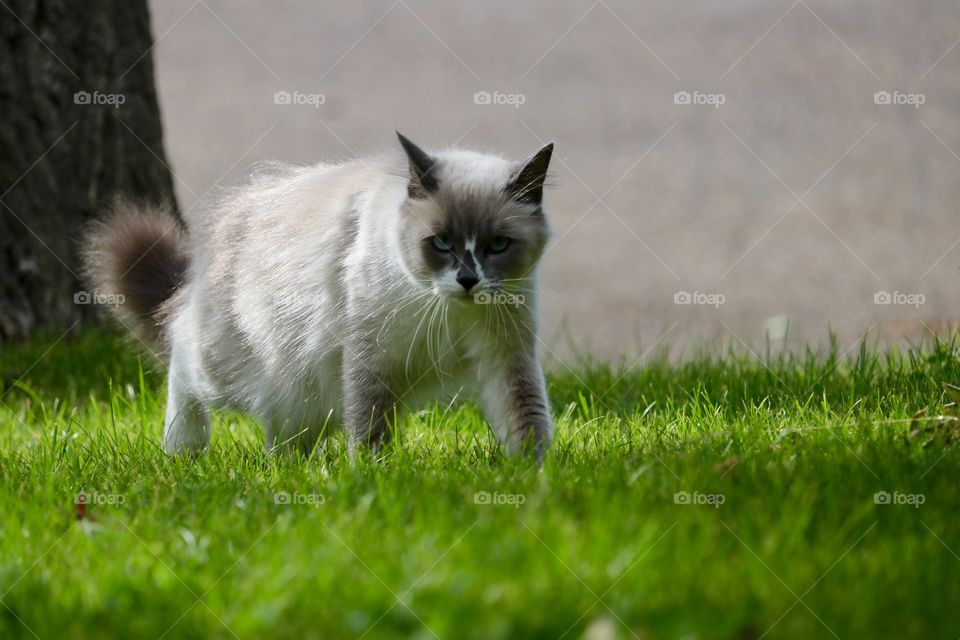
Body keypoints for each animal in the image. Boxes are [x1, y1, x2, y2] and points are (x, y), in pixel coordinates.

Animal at [87, 132, 560, 460]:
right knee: (180, 349)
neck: (447, 310)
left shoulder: (506, 356)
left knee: (281, 437)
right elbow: (370, 427)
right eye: (441, 243)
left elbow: (527, 419)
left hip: (304, 394)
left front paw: (533, 479)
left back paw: (286, 470)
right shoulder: (370, 357)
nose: (467, 280)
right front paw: (373, 478)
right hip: (228, 367)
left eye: (497, 246)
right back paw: (183, 450)